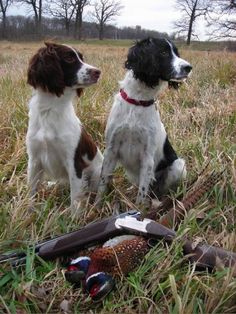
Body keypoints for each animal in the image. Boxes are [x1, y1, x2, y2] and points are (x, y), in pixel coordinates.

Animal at [26, 42, 103, 211]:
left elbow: (75, 199)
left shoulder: (74, 162)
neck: (50, 109)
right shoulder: (34, 159)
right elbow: (31, 192)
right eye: (69, 58)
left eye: (82, 58)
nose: (98, 72)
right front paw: (28, 212)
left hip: (96, 174)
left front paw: (74, 216)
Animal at [97, 37, 193, 204]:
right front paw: (95, 205)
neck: (138, 102)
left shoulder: (148, 157)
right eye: (163, 52)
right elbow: (102, 183)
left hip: (177, 165)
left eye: (176, 52)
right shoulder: (111, 150)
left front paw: (139, 208)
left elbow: (142, 193)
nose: (188, 67)